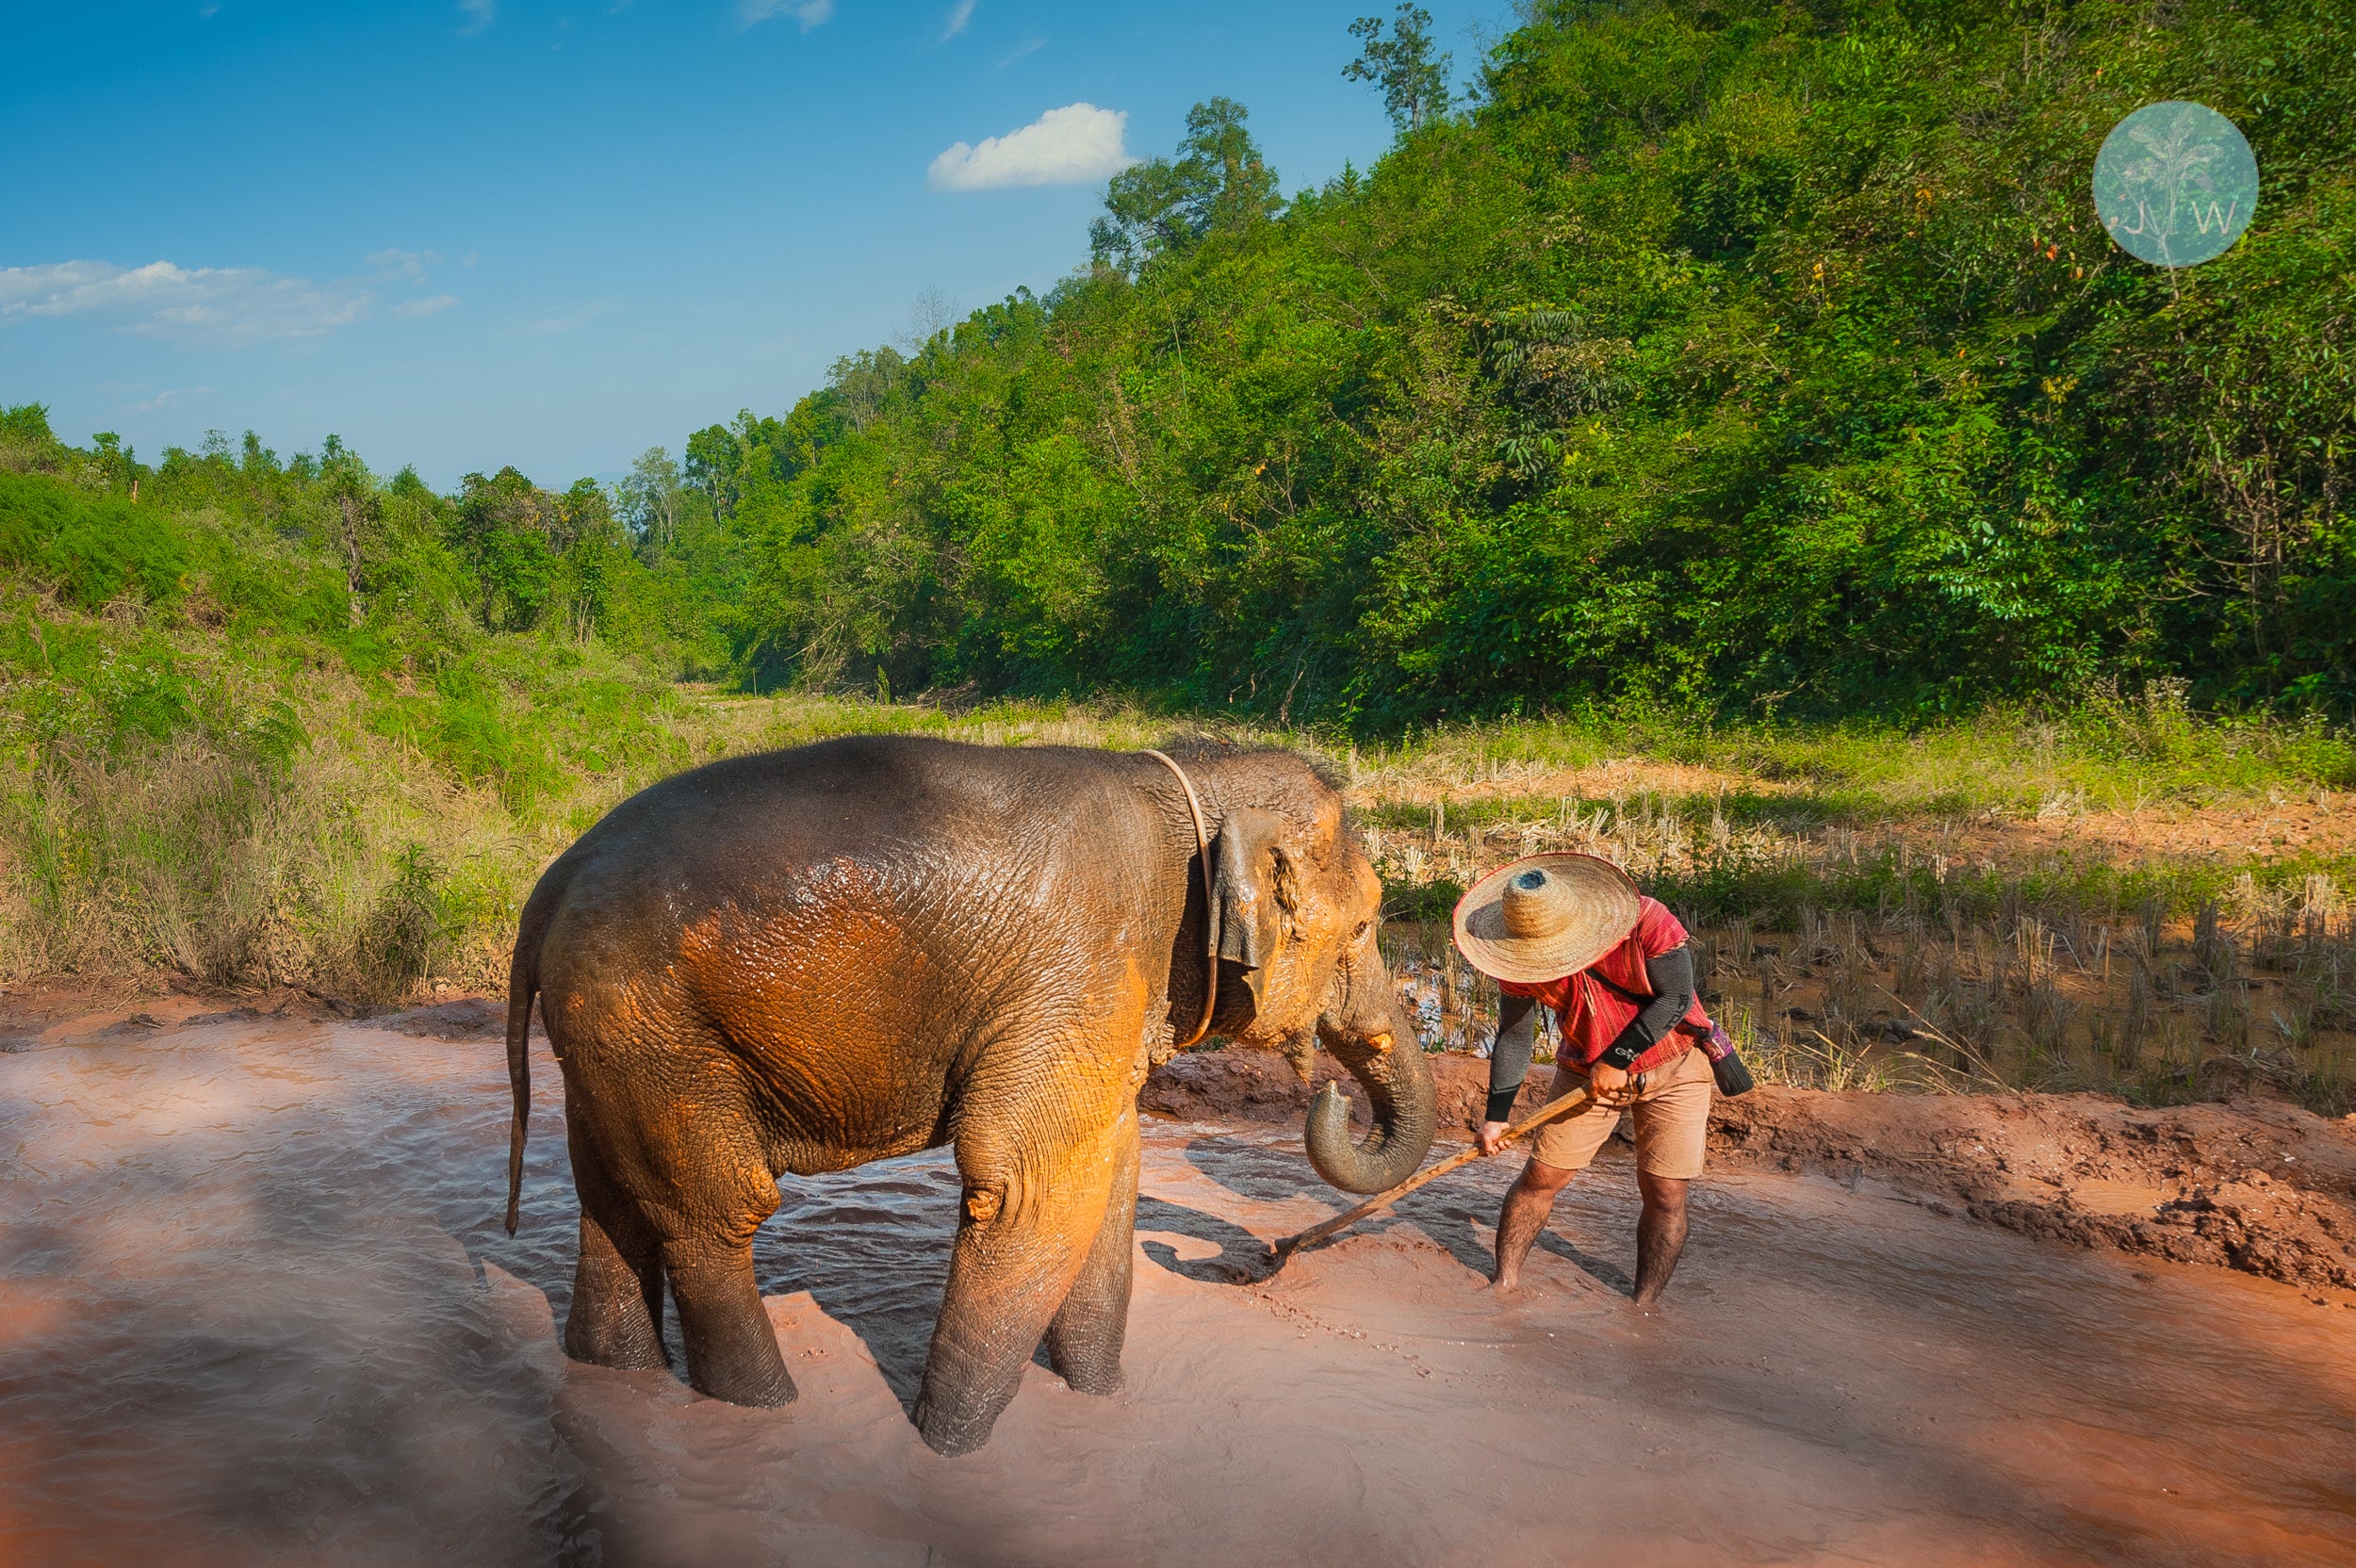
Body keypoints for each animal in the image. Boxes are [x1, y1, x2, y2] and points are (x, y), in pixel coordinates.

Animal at [501, 734, 1432, 1450]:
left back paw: (617, 1375)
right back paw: (768, 1415)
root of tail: (549, 885)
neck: (1191, 788)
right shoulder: (1082, 969)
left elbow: (1107, 1186)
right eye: (1363, 926)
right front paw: (947, 1456)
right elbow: (1029, 1191)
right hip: (653, 1023)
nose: (1334, 1097)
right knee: (715, 1214)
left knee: (613, 1203)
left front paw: (1102, 1408)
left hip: (612, 1042)